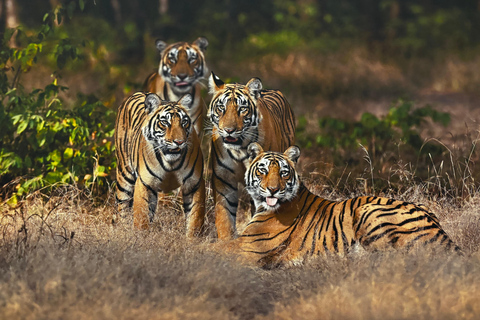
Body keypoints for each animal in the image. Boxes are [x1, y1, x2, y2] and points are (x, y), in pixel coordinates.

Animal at [116, 90, 206, 238]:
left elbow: (195, 219)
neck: (170, 162)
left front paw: (193, 240)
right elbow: (141, 217)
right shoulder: (145, 183)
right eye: (164, 122)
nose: (179, 142)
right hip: (124, 176)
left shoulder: (194, 184)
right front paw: (140, 239)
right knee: (122, 207)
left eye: (184, 122)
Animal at [207, 71, 294, 239]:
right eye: (221, 108)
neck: (239, 148)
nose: (229, 130)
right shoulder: (224, 179)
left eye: (242, 109)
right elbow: (225, 217)